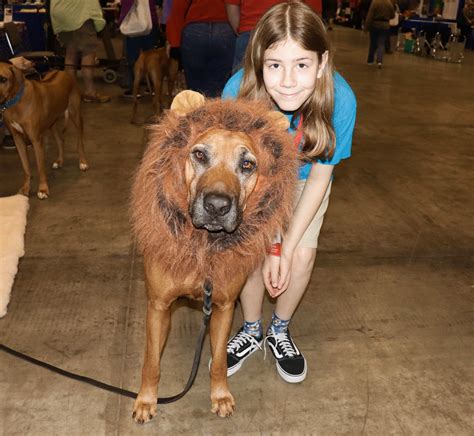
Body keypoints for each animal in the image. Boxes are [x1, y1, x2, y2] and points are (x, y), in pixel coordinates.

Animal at [0, 63, 86, 199]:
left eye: (3, 79)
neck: (16, 102)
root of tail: (62, 71)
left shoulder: (36, 139)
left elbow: (40, 167)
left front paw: (43, 189)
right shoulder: (17, 139)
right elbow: (26, 167)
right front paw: (25, 188)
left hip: (75, 114)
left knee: (80, 141)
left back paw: (83, 162)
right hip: (52, 121)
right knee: (60, 140)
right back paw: (59, 161)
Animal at [131, 91, 296, 422]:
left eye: (247, 164)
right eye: (199, 155)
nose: (217, 206)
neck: (204, 249)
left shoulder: (222, 307)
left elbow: (218, 359)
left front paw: (220, 395)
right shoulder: (158, 306)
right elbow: (151, 361)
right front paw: (146, 399)